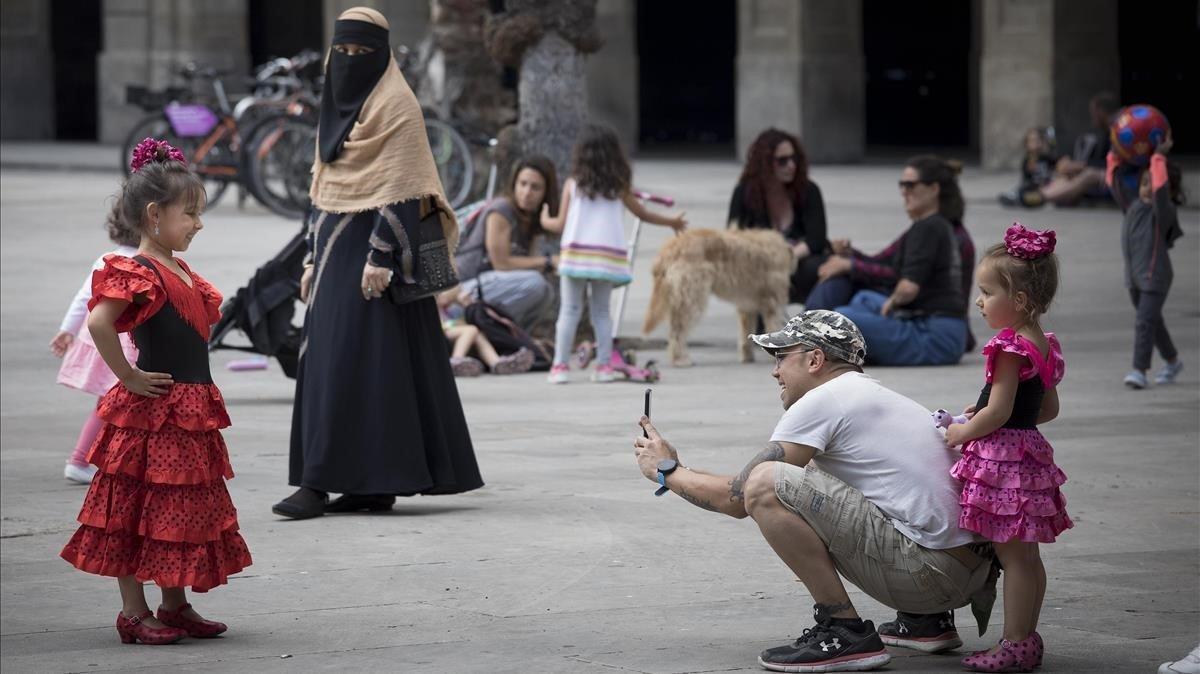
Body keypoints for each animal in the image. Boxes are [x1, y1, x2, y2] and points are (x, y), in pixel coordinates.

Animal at [648, 227, 796, 364]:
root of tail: (670, 248)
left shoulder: (746, 307)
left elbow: (746, 333)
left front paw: (747, 357)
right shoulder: (772, 304)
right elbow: (773, 329)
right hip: (693, 298)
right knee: (677, 330)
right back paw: (680, 359)